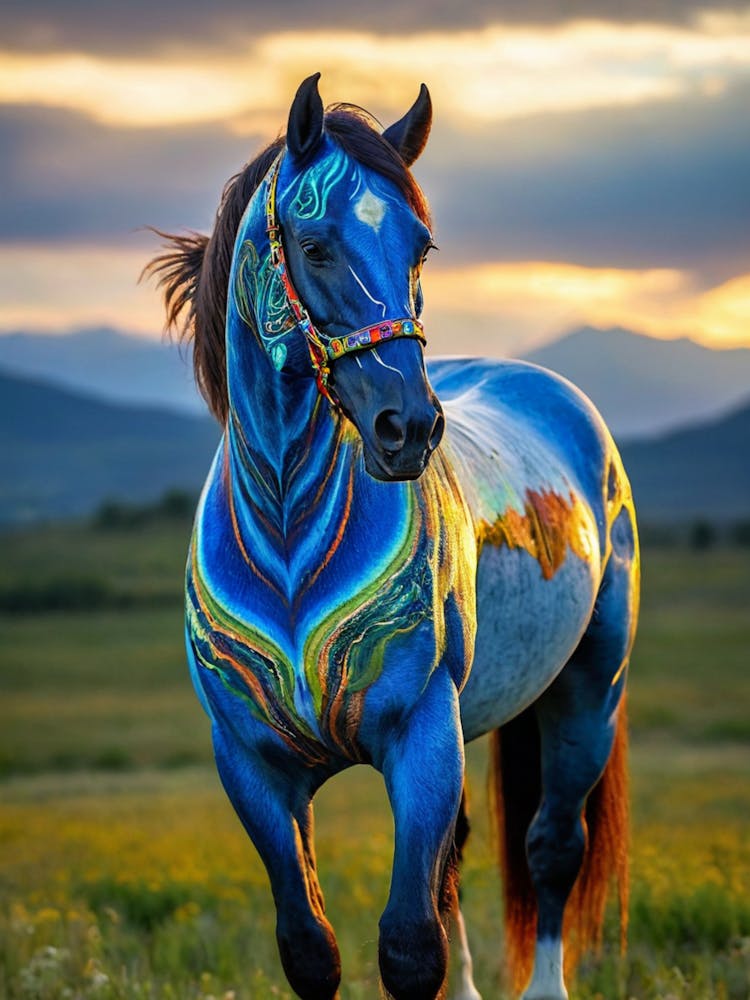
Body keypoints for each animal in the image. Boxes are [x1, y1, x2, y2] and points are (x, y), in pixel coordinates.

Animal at [146, 74, 639, 1000]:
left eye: (421, 249)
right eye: (314, 245)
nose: (408, 428)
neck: (291, 539)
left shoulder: (420, 740)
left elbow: (411, 946)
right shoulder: (255, 768)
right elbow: (312, 946)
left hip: (589, 690)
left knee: (553, 849)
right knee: (462, 862)